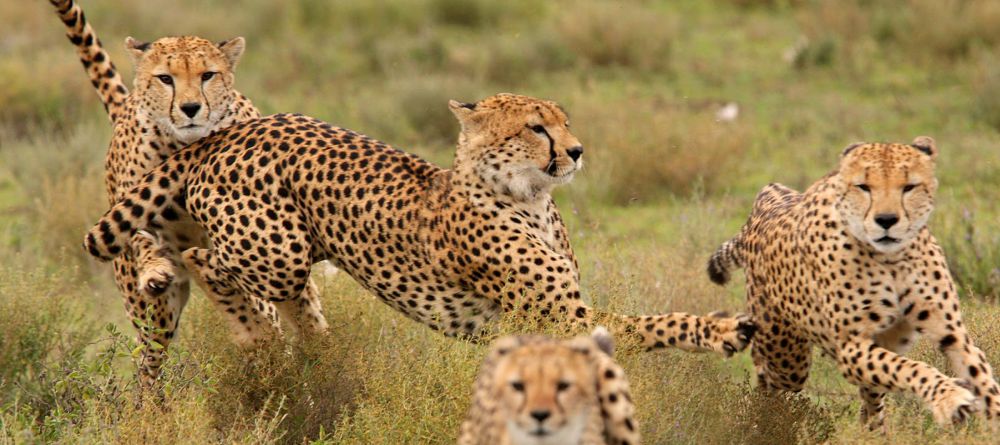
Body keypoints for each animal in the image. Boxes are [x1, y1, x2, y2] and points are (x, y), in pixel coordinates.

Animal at [50, 0, 324, 386]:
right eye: (166, 78)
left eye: (207, 75)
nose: (191, 108)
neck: (184, 145)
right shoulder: (134, 217)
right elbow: (143, 241)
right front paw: (154, 271)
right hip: (154, 319)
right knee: (150, 363)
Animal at [86, 93, 752, 364]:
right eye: (537, 127)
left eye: (564, 122)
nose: (577, 151)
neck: (529, 198)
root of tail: (235, 130)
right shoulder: (564, 317)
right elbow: (652, 323)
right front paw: (721, 328)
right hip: (278, 251)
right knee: (204, 260)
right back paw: (255, 334)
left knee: (286, 302)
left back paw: (318, 354)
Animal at [712, 135, 1000, 426]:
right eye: (864, 187)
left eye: (909, 187)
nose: (886, 220)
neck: (891, 258)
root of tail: (771, 197)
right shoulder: (851, 347)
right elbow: (911, 367)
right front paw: (949, 397)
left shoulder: (953, 335)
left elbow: (981, 376)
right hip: (787, 359)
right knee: (765, 376)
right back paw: (760, 418)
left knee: (871, 400)